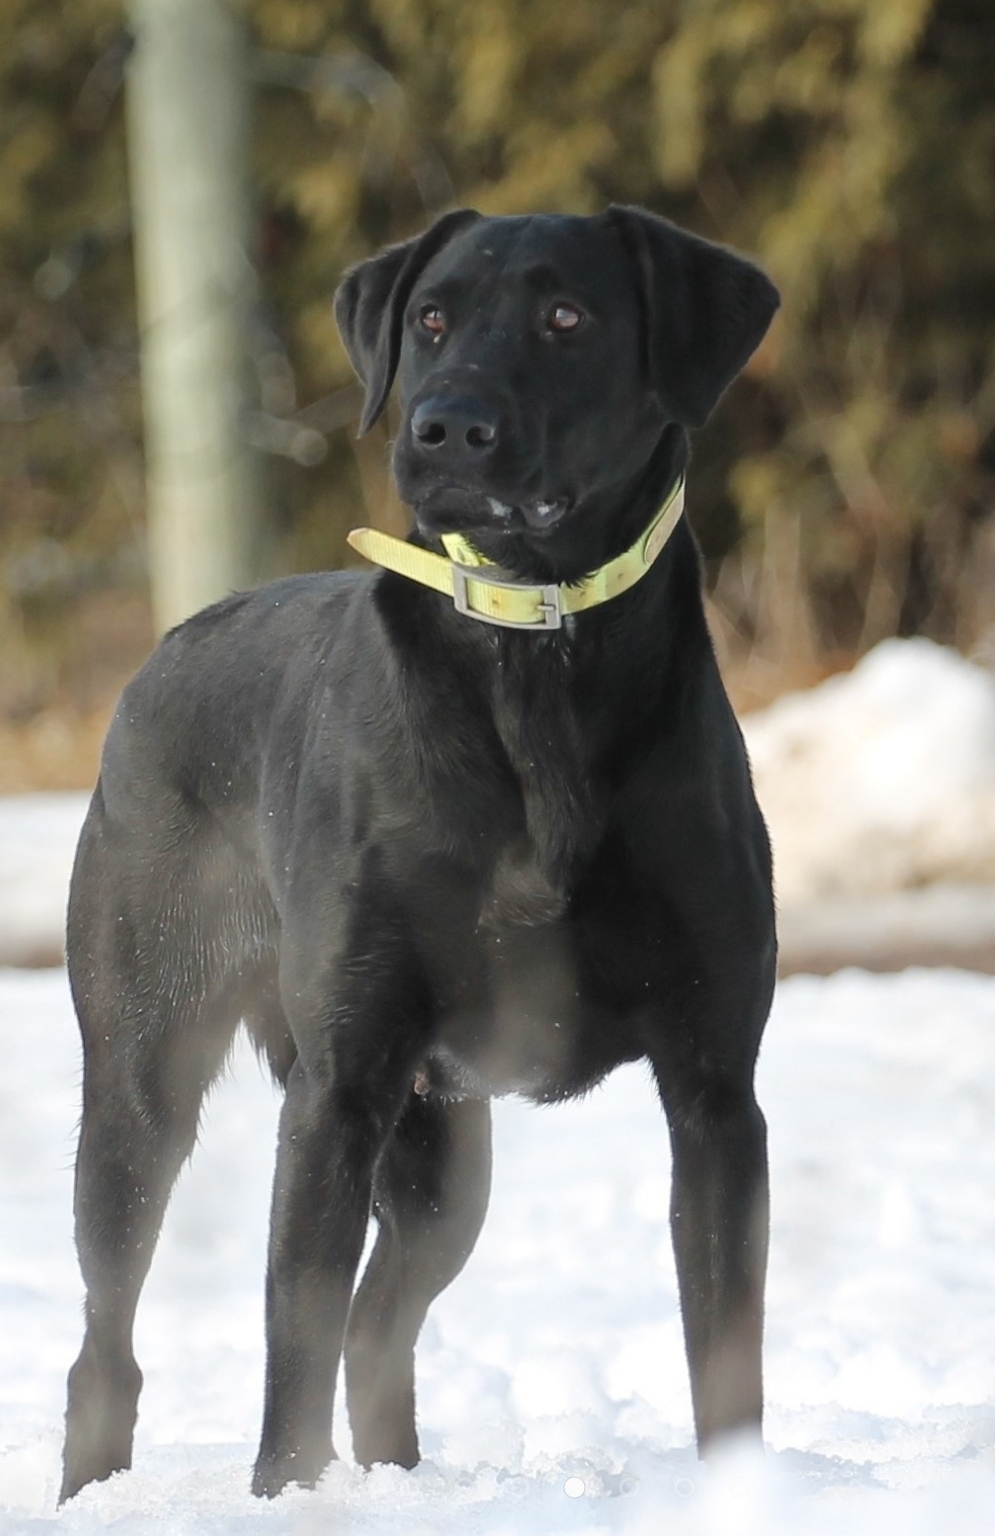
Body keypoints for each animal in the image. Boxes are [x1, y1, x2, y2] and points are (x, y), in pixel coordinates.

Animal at [60, 204, 776, 1499]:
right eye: (431, 319)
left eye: (566, 315)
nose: (443, 424)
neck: (536, 650)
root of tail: (154, 661)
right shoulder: (341, 1086)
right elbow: (290, 1341)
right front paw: (284, 1503)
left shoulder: (713, 1087)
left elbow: (725, 1349)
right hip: (145, 1076)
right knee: (115, 1342)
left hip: (443, 1156)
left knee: (377, 1329)